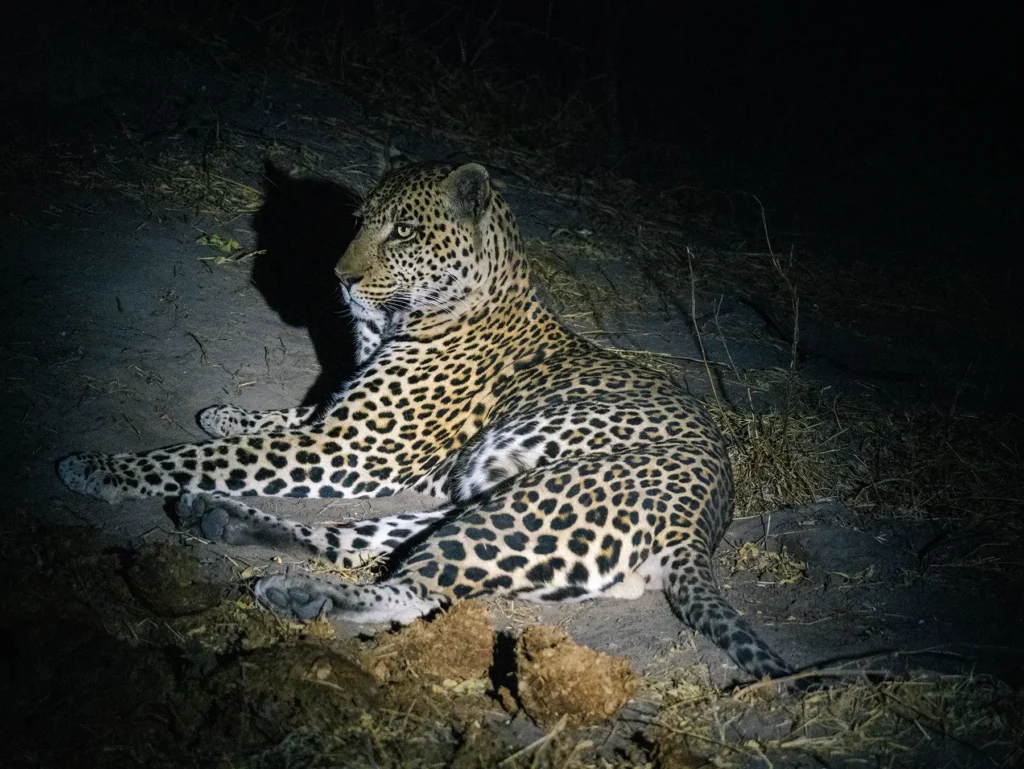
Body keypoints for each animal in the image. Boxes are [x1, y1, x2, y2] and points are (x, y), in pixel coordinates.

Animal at [58, 161, 792, 680]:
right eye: (358, 221)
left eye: (404, 232)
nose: (340, 277)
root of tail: (704, 526)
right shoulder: (341, 421)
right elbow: (280, 419)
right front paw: (224, 413)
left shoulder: (351, 445)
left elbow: (209, 456)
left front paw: (102, 468)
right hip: (482, 504)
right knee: (363, 545)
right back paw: (221, 518)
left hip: (530, 506)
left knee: (413, 588)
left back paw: (294, 592)